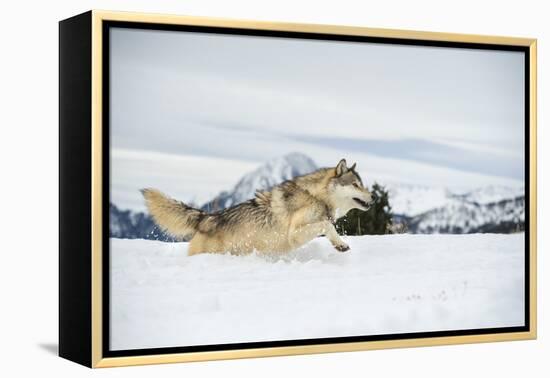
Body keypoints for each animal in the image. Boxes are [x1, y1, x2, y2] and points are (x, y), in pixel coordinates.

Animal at [141, 158, 376, 255]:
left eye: (362, 184)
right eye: (356, 185)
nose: (373, 197)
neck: (316, 196)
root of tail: (207, 217)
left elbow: (328, 227)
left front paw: (339, 245)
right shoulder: (294, 233)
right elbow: (326, 225)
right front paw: (341, 244)